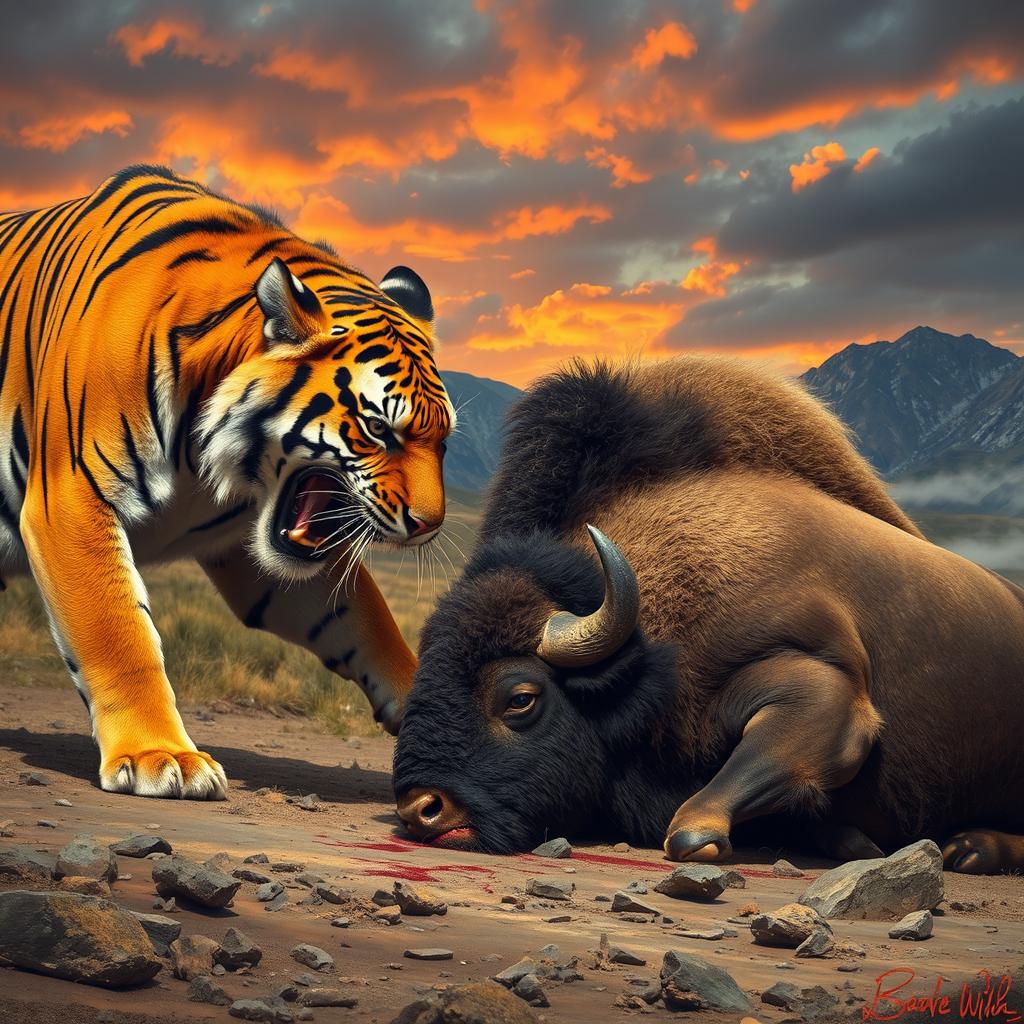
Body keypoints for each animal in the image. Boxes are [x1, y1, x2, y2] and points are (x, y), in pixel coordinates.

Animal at [0, 164, 454, 799]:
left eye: (444, 441)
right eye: (378, 429)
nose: (428, 526)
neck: (202, 461)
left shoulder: (253, 551)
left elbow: (368, 621)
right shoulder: (70, 497)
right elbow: (118, 630)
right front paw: (159, 755)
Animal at [393, 356, 1024, 874]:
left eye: (520, 699)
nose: (422, 808)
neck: (645, 639)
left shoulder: (825, 690)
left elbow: (691, 831)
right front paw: (851, 840)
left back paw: (970, 850)